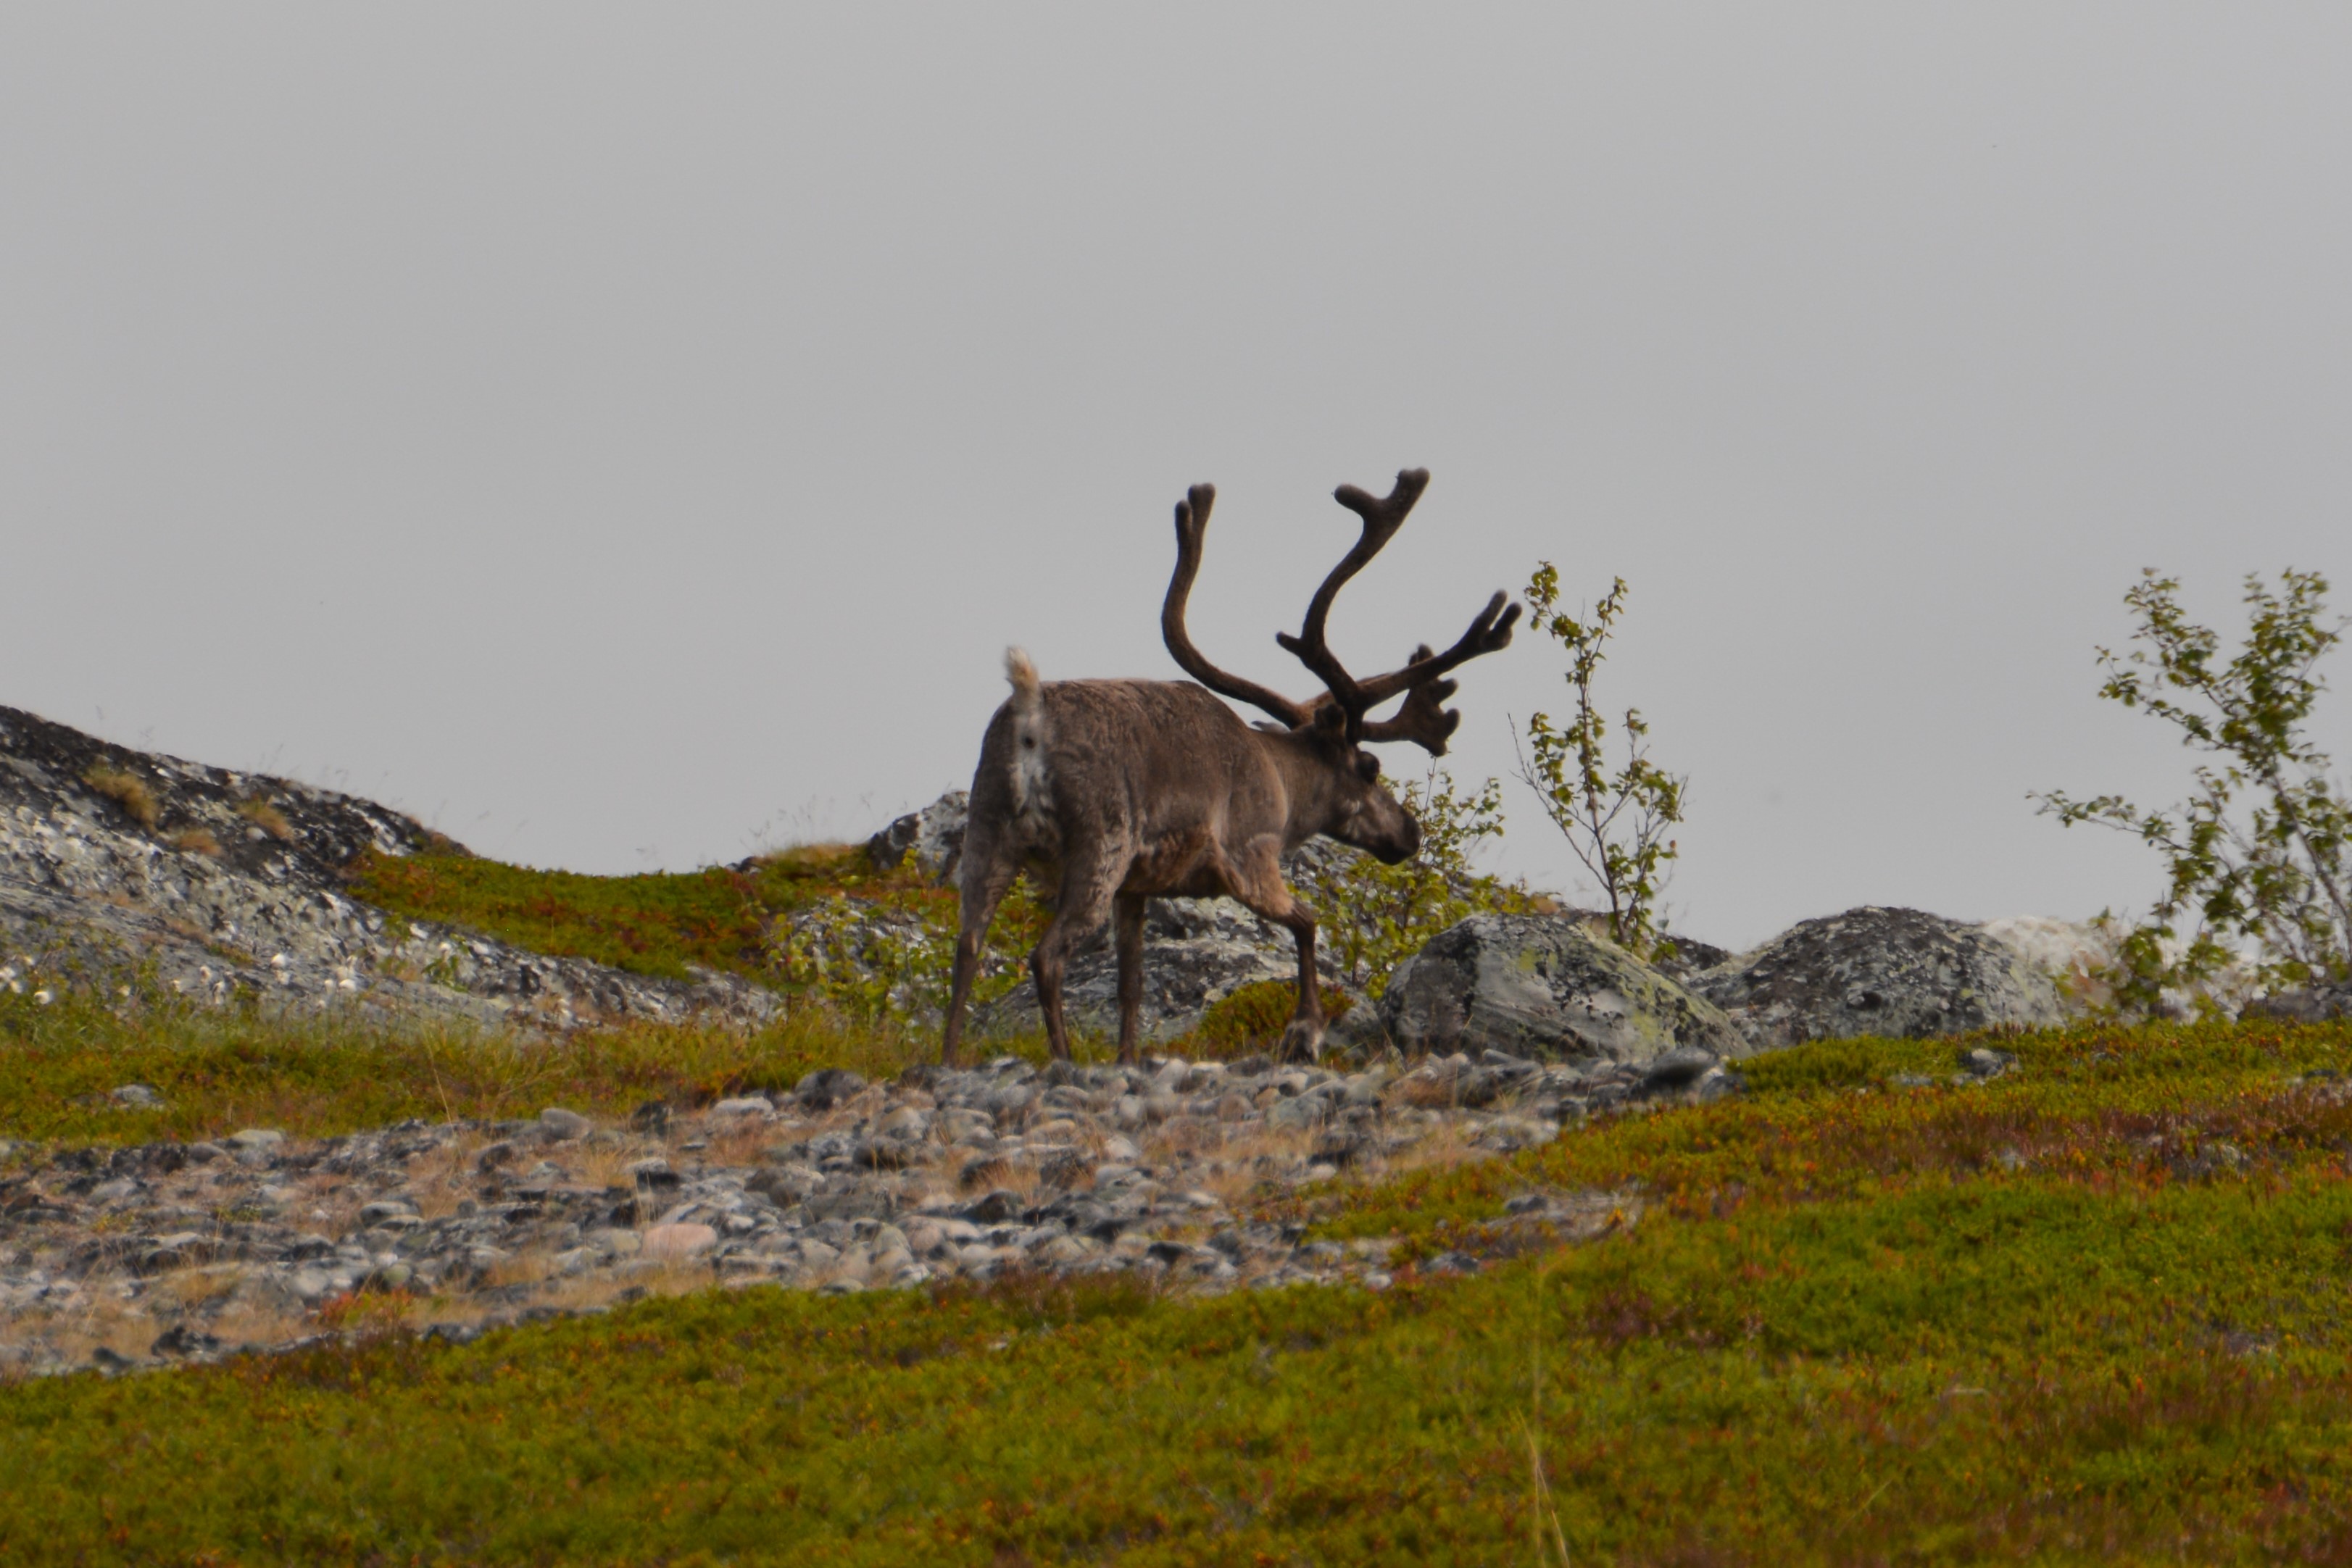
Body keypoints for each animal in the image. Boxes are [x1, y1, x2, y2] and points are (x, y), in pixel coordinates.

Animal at [938, 468, 1519, 1067]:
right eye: (1369, 766)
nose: (1410, 832)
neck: (1284, 783)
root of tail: (1028, 718)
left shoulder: (1137, 887)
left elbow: (1131, 984)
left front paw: (1127, 1057)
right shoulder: (1249, 855)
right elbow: (1307, 922)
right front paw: (1304, 1031)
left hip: (988, 828)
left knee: (967, 946)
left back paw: (945, 1061)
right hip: (1099, 843)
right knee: (1046, 956)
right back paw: (1062, 1060)